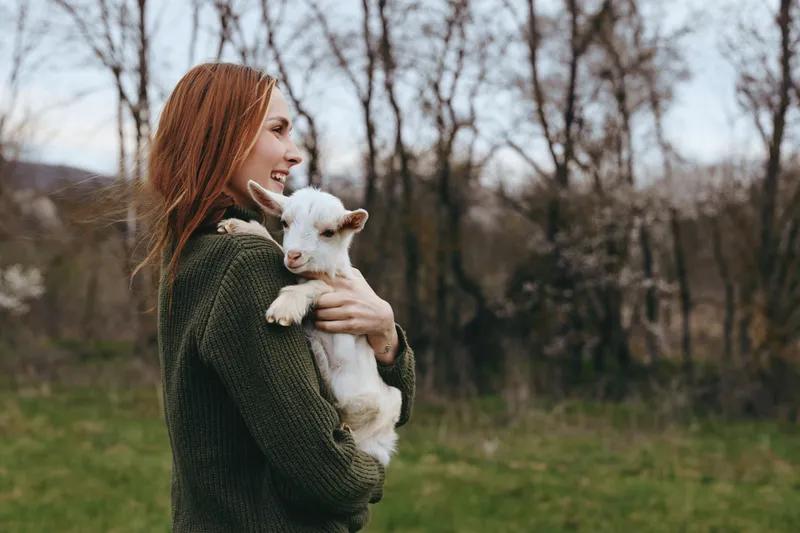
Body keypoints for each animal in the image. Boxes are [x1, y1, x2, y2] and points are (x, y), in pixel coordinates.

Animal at [217, 180, 402, 466]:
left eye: (329, 232)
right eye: (284, 222)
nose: (294, 255)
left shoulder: (336, 291)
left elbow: (317, 286)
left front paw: (285, 307)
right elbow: (278, 249)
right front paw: (241, 227)